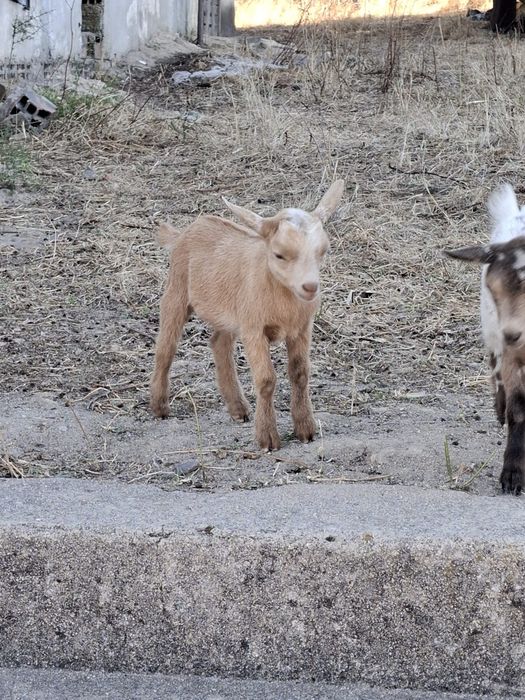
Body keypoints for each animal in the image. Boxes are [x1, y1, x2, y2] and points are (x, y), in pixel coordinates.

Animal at [150, 181, 345, 451]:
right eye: (279, 254)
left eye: (323, 251)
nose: (310, 287)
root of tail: (184, 233)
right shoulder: (253, 328)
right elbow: (266, 379)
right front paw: (268, 439)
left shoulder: (302, 327)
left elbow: (300, 373)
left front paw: (306, 430)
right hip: (176, 290)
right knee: (165, 347)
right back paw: (159, 407)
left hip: (230, 313)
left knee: (219, 343)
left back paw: (238, 408)